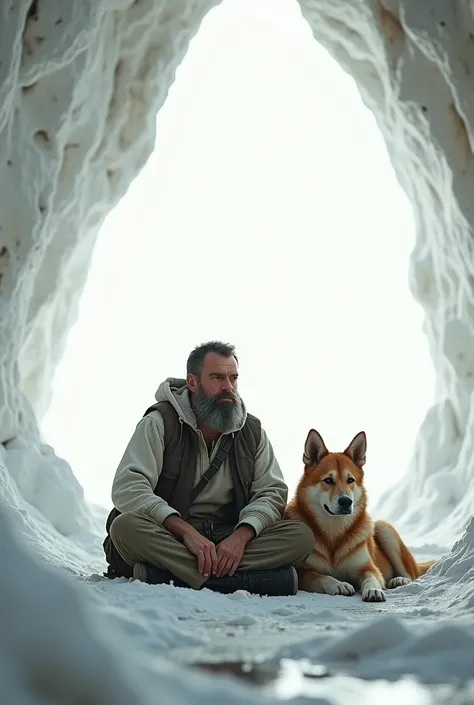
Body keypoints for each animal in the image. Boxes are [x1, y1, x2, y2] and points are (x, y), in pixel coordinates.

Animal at [284, 426, 436, 604]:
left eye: (350, 480)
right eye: (328, 480)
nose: (346, 501)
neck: (334, 533)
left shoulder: (368, 568)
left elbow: (371, 578)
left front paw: (373, 590)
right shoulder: (302, 572)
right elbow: (321, 577)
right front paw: (338, 585)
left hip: (385, 529)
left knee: (411, 575)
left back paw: (399, 580)